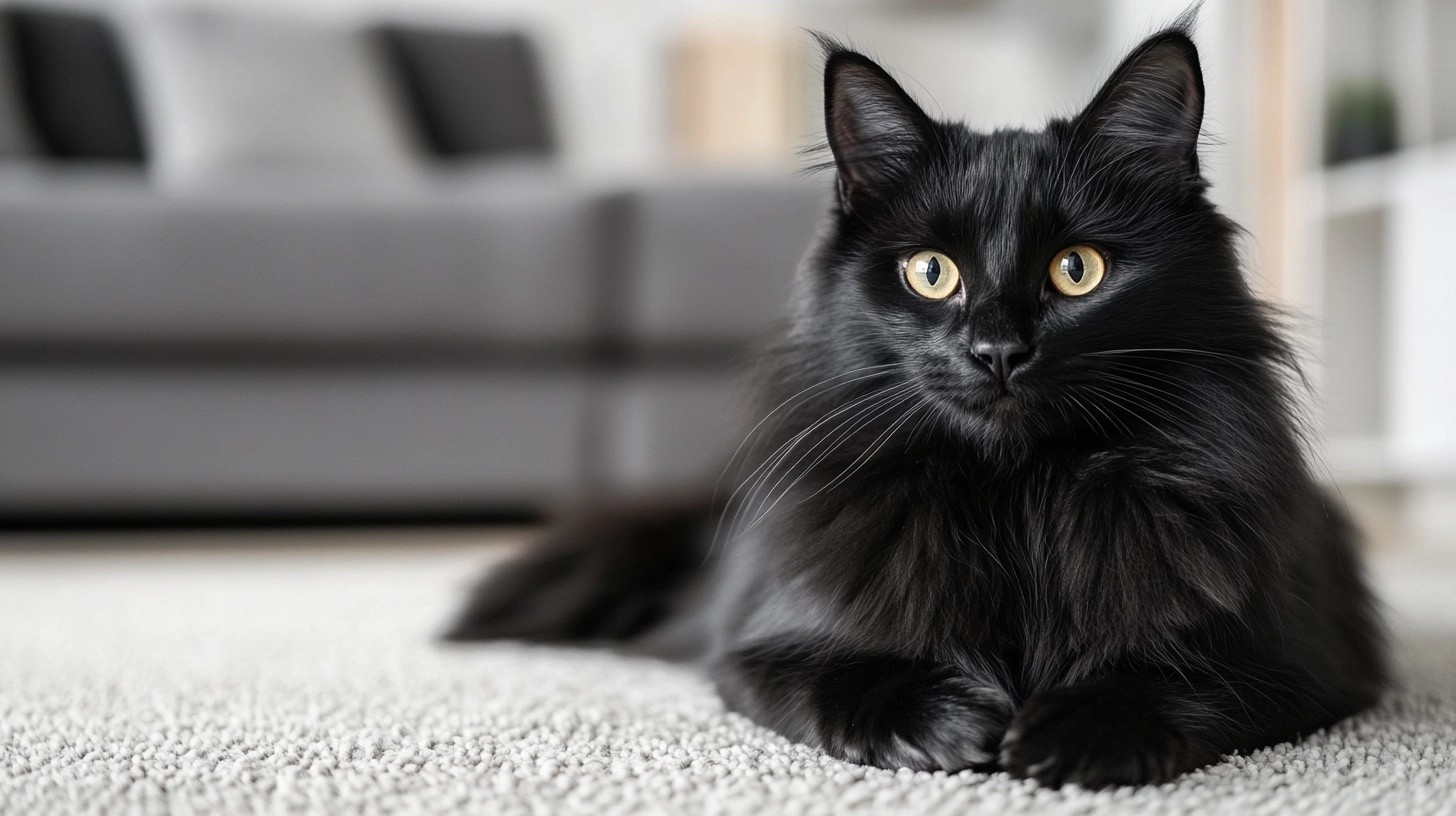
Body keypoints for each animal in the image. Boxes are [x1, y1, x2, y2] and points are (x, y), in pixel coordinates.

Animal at [445, 20, 1386, 792]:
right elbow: (845, 675)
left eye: (1077, 269)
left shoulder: (1298, 658)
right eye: (931, 273)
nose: (998, 349)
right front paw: (950, 723)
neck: (1017, 501)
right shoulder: (757, 647)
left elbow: (1173, 678)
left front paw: (1072, 734)